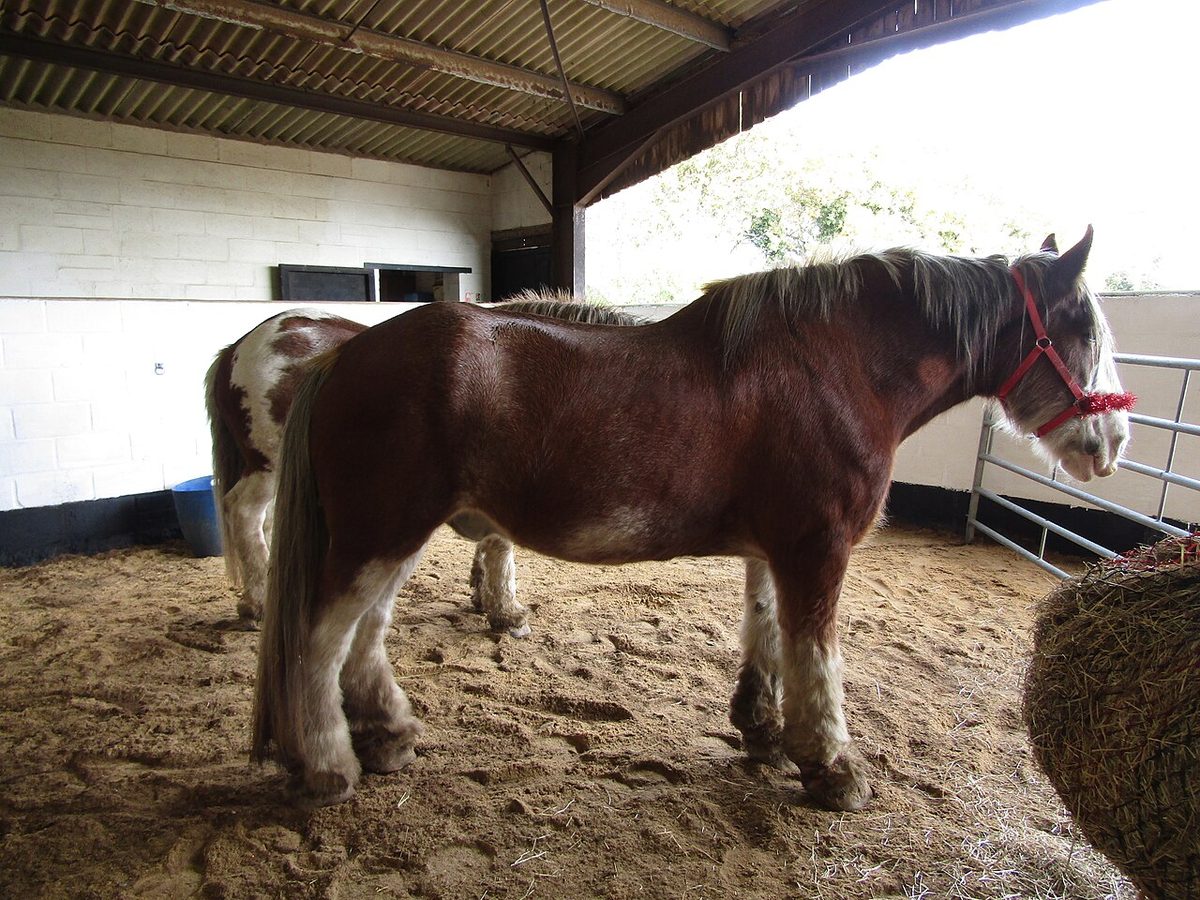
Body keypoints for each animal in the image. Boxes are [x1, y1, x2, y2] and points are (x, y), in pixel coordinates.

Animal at [205, 294, 642, 627]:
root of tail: (237, 348)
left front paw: (482, 594)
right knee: (243, 513)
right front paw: (506, 611)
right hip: (267, 467)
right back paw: (258, 603)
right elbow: (501, 547)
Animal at [251, 229, 1133, 810]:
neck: (832, 365)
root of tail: (344, 355)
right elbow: (818, 655)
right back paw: (329, 766)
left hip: (393, 536)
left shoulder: (776, 548)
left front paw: (763, 731)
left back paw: (388, 736)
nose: (1114, 441)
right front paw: (833, 767)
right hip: (380, 533)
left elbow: (767, 631)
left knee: (364, 637)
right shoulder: (819, 548)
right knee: (319, 640)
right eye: (1081, 327)